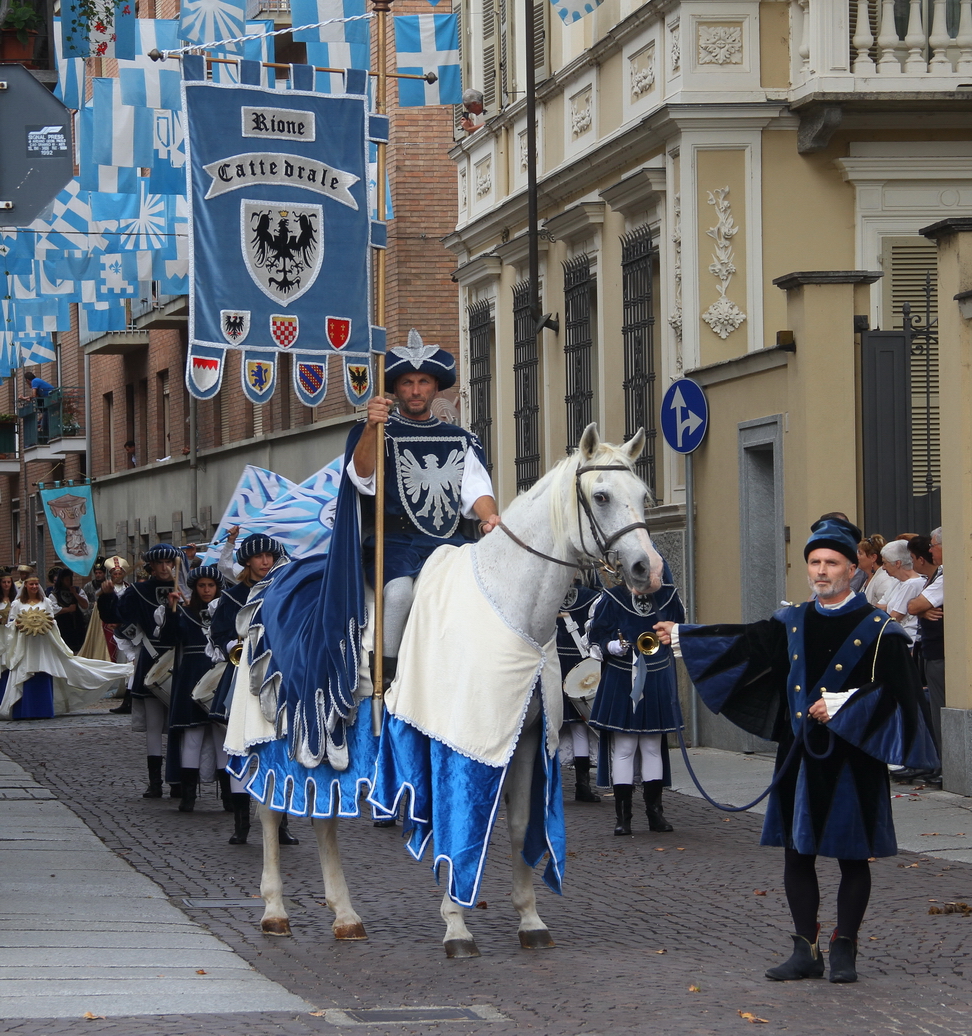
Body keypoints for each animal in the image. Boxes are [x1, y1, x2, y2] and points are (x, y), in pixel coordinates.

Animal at [251, 424, 659, 957]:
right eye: (602, 495)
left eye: (643, 494)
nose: (647, 568)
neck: (508, 605)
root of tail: (272, 581)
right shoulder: (455, 743)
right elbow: (456, 825)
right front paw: (456, 926)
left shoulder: (527, 740)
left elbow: (518, 826)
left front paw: (530, 920)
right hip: (278, 736)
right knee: (269, 812)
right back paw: (275, 911)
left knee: (323, 817)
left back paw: (345, 916)